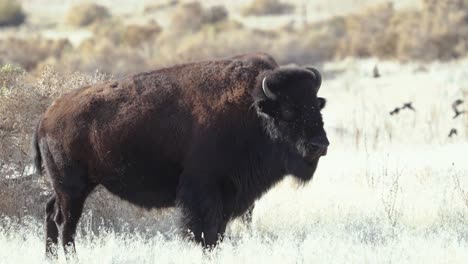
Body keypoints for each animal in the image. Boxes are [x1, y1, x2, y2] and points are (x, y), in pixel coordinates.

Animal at [32, 52, 330, 256]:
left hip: (70, 188)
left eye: (316, 106)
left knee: (50, 212)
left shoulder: (227, 196)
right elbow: (205, 233)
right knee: (65, 223)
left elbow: (218, 232)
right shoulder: (203, 192)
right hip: (73, 189)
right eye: (289, 111)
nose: (320, 145)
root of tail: (46, 116)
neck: (253, 110)